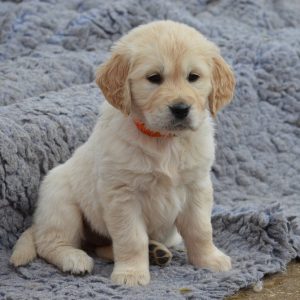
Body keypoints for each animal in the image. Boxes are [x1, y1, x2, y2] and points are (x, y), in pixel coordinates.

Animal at [9, 20, 234, 286]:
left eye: (193, 77)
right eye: (154, 78)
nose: (181, 109)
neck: (163, 141)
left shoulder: (197, 186)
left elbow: (200, 229)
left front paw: (209, 260)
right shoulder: (123, 195)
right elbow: (131, 238)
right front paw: (131, 274)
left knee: (102, 247)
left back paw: (155, 251)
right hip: (61, 202)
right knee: (51, 242)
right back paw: (74, 259)